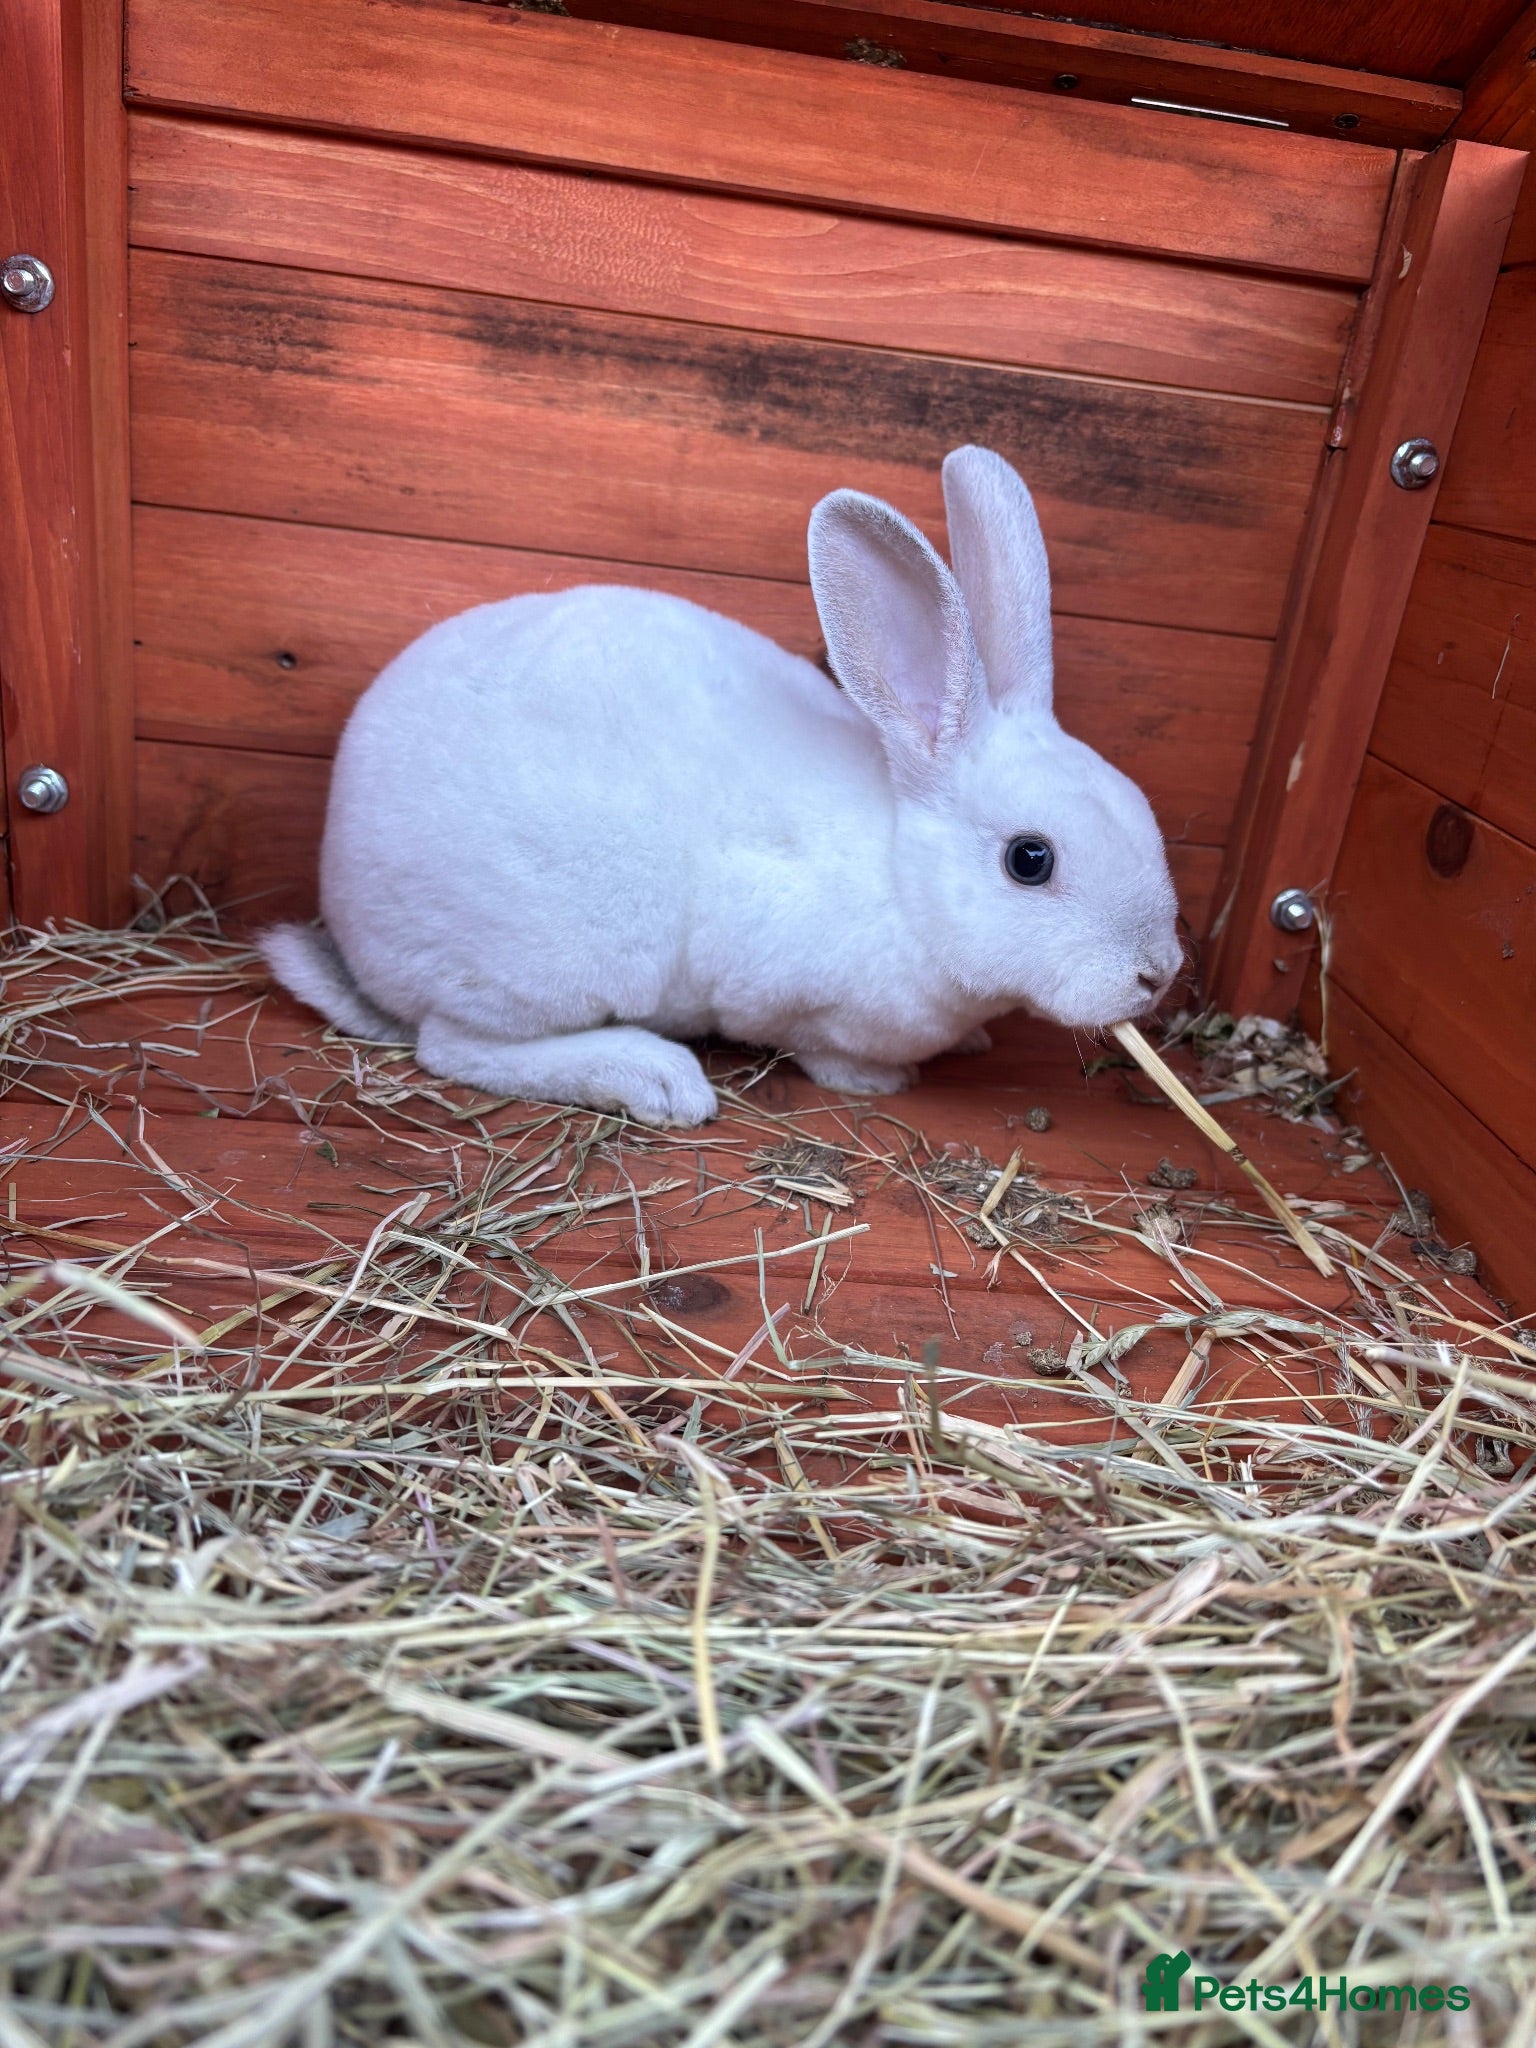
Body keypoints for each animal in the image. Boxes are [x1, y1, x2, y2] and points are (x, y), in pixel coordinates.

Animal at [261, 445, 1182, 1128]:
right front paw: (878, 1082)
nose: (1158, 973)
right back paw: (655, 1078)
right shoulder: (799, 991)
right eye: (1030, 860)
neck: (899, 872)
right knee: (453, 1046)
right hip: (549, 957)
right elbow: (824, 1048)